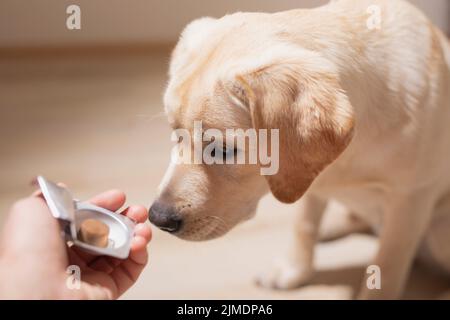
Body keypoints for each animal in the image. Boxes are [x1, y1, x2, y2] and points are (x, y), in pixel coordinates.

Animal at [149, 0, 448, 300]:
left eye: (223, 150)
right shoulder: (306, 178)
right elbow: (303, 225)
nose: (157, 219)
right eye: (176, 135)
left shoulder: (410, 198)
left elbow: (388, 261)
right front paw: (293, 271)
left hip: (438, 235)